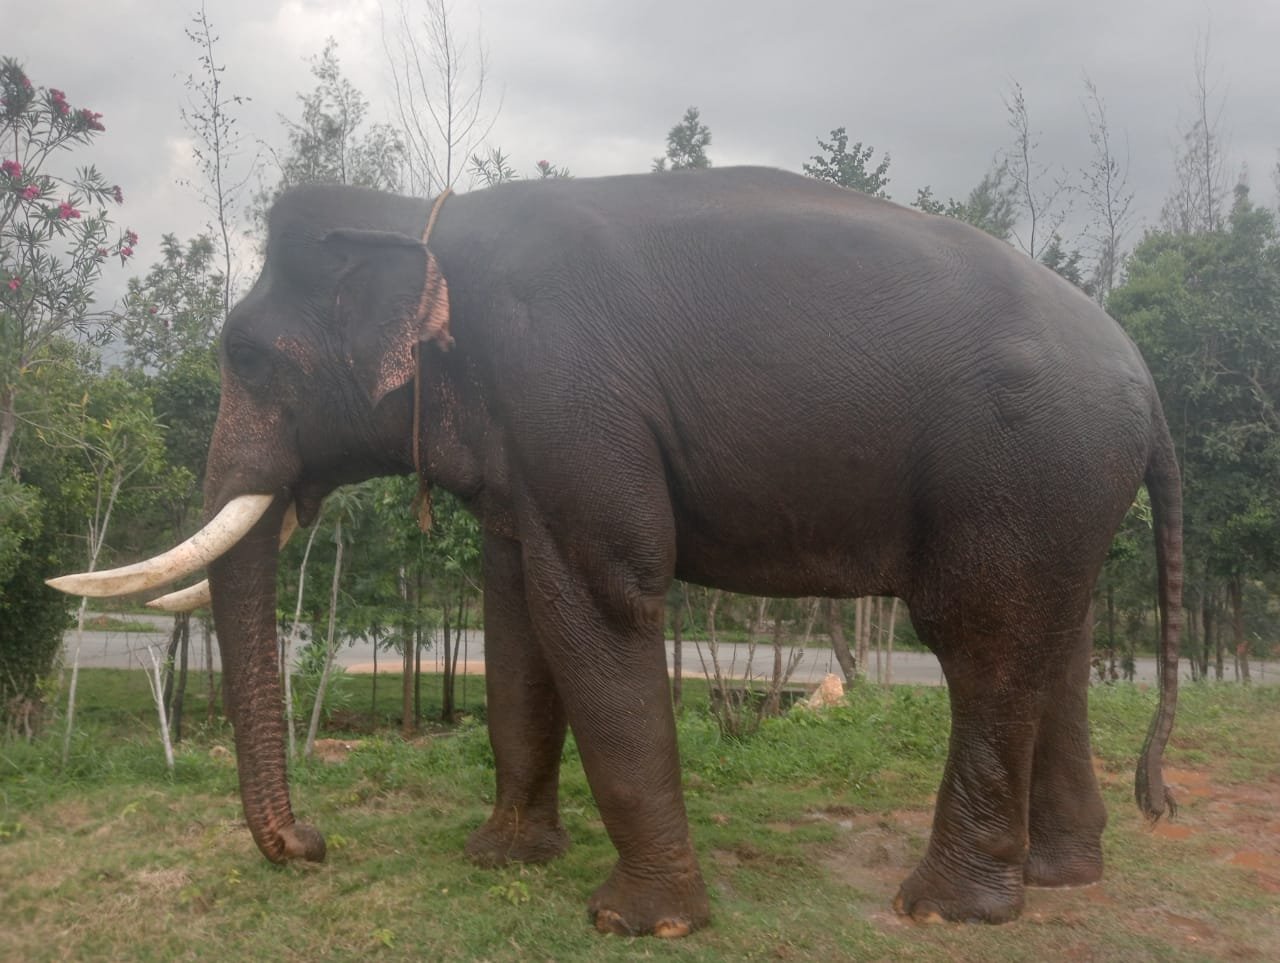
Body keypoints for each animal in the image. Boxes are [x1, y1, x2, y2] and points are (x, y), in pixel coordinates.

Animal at [50, 166, 1181, 937]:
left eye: (244, 358)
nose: (309, 846)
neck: (425, 215)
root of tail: (1144, 375)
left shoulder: (568, 394)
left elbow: (601, 600)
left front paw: (637, 922)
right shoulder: (522, 448)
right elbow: (512, 616)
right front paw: (501, 860)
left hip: (1015, 463)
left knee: (980, 641)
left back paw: (944, 908)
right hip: (1063, 488)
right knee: (1058, 641)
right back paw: (1062, 876)